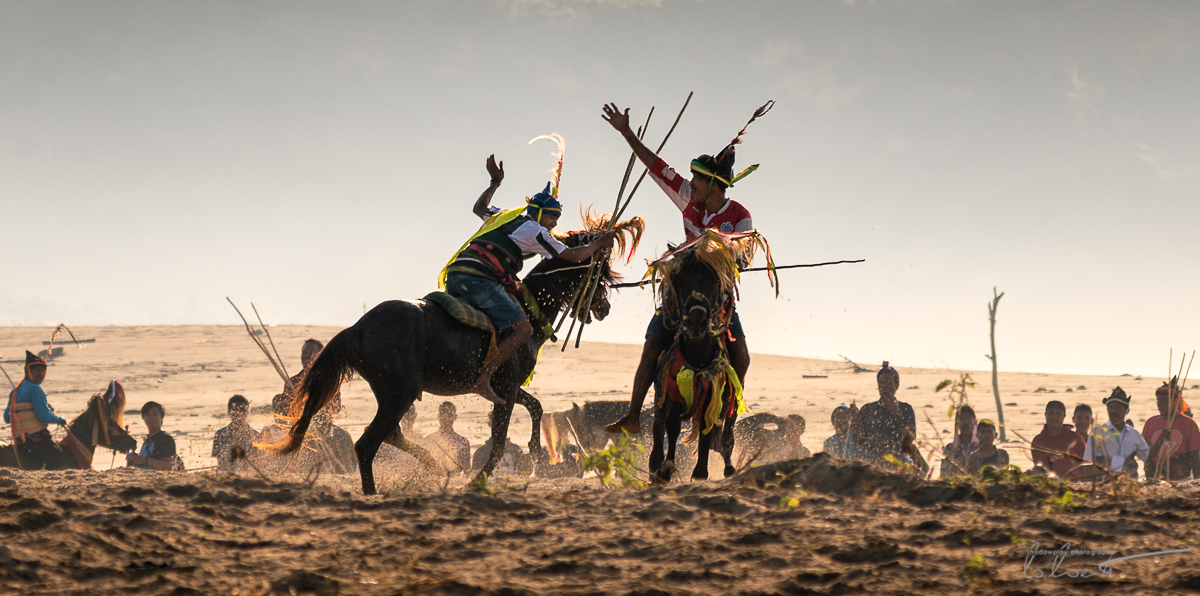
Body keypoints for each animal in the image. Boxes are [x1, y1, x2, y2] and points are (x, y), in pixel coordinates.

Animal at [274, 215, 643, 494]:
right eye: (599, 274)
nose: (604, 308)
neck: (528, 305)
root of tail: (358, 328)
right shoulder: (507, 388)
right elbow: (498, 443)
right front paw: (480, 479)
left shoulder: (506, 389)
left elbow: (536, 407)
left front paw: (536, 451)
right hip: (400, 393)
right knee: (368, 443)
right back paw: (373, 490)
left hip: (391, 394)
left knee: (391, 434)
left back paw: (433, 465)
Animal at [648, 232, 748, 484]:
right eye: (681, 279)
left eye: (715, 280)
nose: (696, 323)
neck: (698, 354)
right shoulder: (671, 390)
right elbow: (672, 425)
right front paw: (666, 468)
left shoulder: (714, 392)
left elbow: (707, 426)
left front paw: (701, 472)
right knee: (658, 426)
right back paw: (655, 466)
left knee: (725, 428)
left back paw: (728, 463)